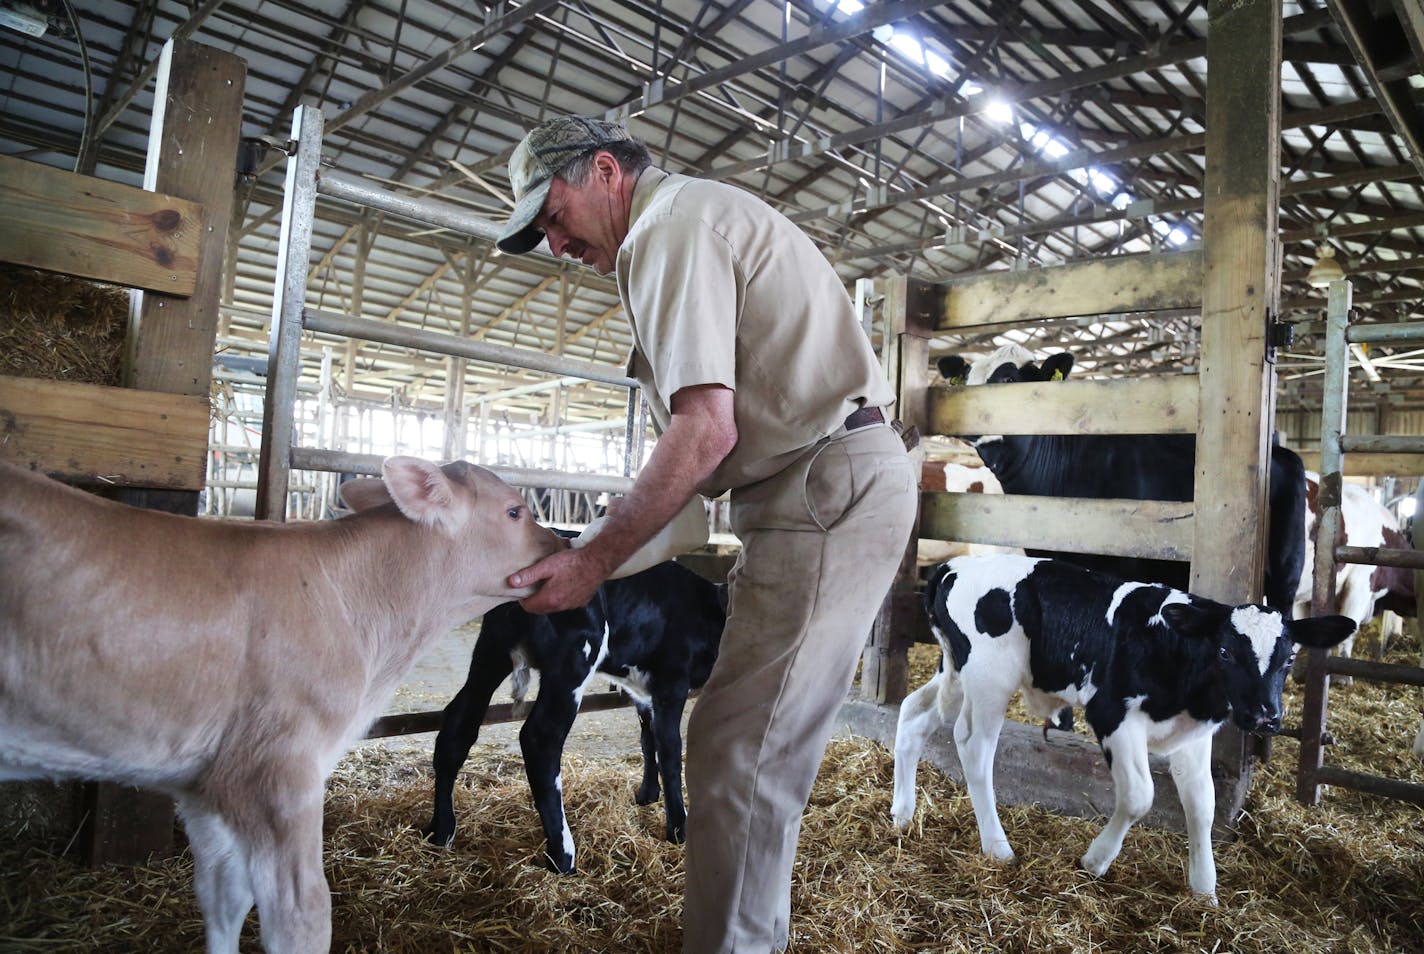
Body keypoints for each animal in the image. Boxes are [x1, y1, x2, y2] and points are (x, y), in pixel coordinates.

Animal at [0, 458, 563, 951]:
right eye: (516, 511)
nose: (563, 543)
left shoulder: (206, 783)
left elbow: (223, 896)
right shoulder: (276, 771)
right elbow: (302, 916)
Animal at [418, 558, 723, 877]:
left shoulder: (643, 691)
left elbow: (647, 740)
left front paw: (647, 795)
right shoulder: (671, 682)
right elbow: (670, 752)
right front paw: (679, 829)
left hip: (492, 650)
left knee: (458, 723)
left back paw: (441, 831)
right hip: (573, 660)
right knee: (541, 737)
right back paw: (563, 856)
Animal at [894, 558, 1349, 899]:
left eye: (1289, 658)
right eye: (1224, 651)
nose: (1264, 716)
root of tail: (953, 565)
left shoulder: (1194, 733)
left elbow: (1203, 804)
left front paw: (1205, 891)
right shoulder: (1111, 712)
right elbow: (1139, 796)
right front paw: (1095, 860)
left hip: (955, 671)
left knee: (913, 712)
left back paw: (902, 814)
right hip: (989, 678)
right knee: (973, 745)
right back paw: (998, 847)